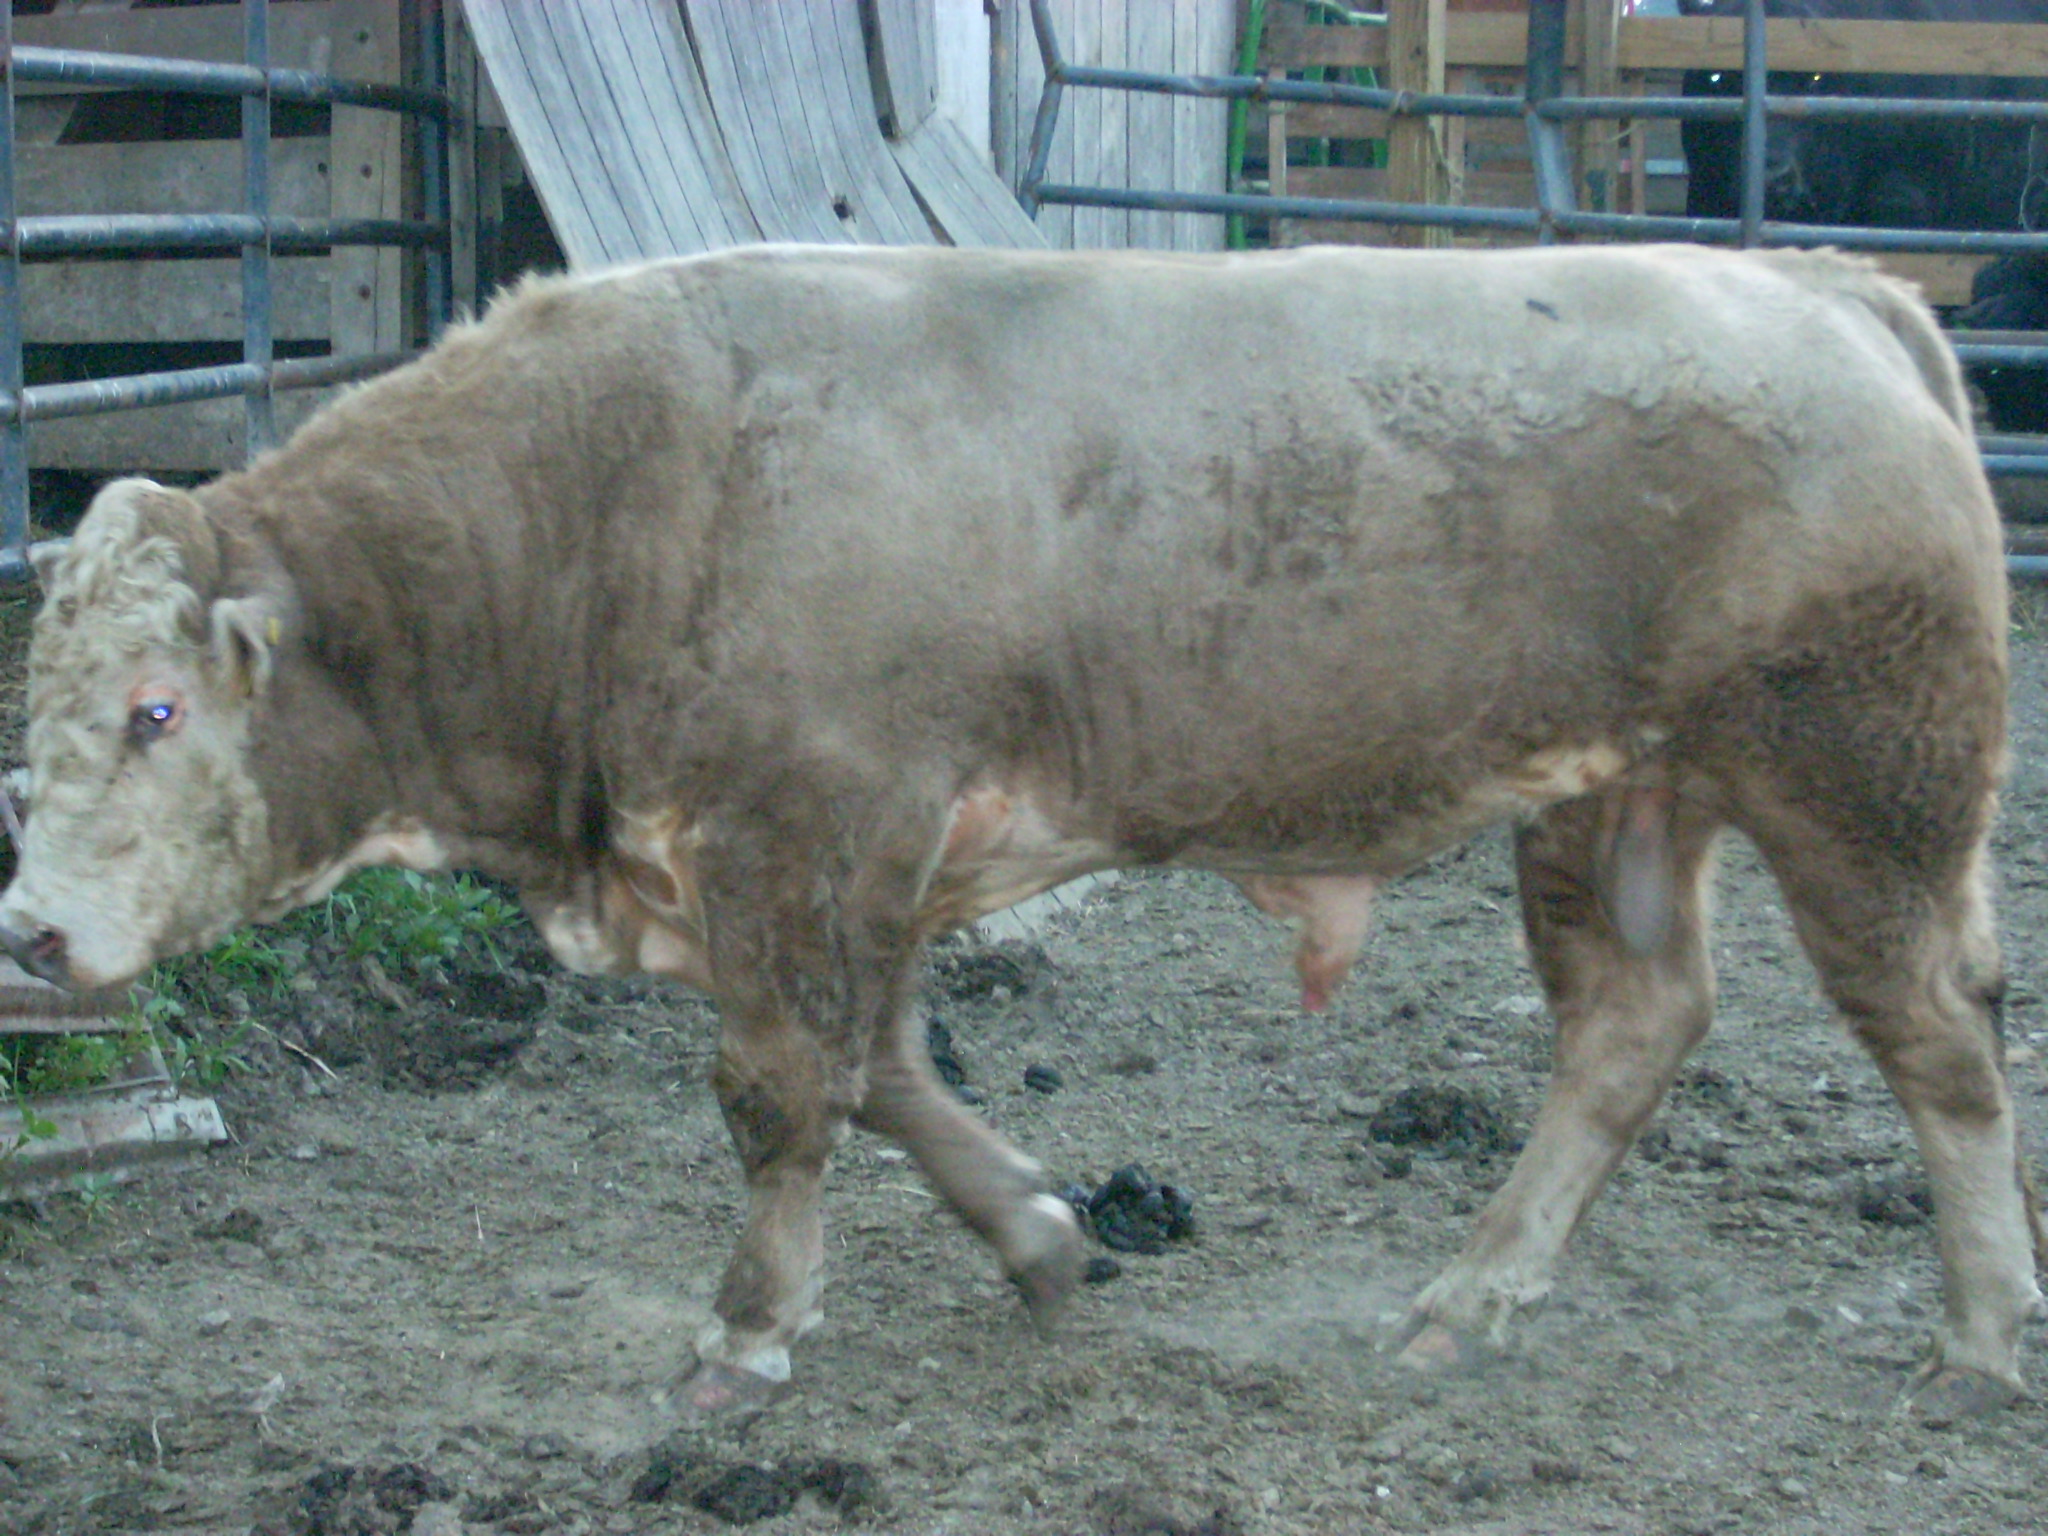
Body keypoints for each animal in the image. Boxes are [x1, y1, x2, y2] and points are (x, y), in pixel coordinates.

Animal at [4, 246, 2048, 1425]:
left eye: (157, 708)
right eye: (40, 710)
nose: (30, 932)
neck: (618, 484)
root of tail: (1832, 295)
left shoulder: (808, 833)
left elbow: (783, 1093)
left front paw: (746, 1331)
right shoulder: (860, 867)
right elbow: (887, 1072)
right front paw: (1044, 1236)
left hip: (1862, 784)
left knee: (1935, 1037)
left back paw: (1978, 1330)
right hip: (1613, 792)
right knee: (1629, 1027)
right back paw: (1468, 1300)